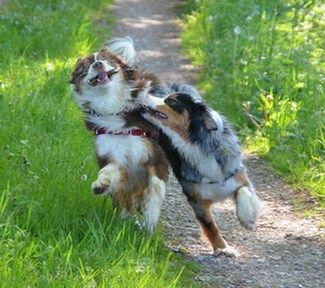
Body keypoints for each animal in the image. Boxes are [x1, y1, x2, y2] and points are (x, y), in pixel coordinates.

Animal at [69, 37, 168, 232]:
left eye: (106, 61)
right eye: (85, 67)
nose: (98, 64)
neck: (112, 106)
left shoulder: (154, 157)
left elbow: (156, 187)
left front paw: (150, 218)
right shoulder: (113, 156)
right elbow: (109, 172)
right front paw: (101, 184)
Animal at [142, 89, 260, 255]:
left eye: (172, 101)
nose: (144, 93)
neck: (198, 145)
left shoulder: (236, 174)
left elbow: (244, 190)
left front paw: (247, 219)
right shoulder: (196, 198)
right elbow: (209, 226)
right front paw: (222, 248)